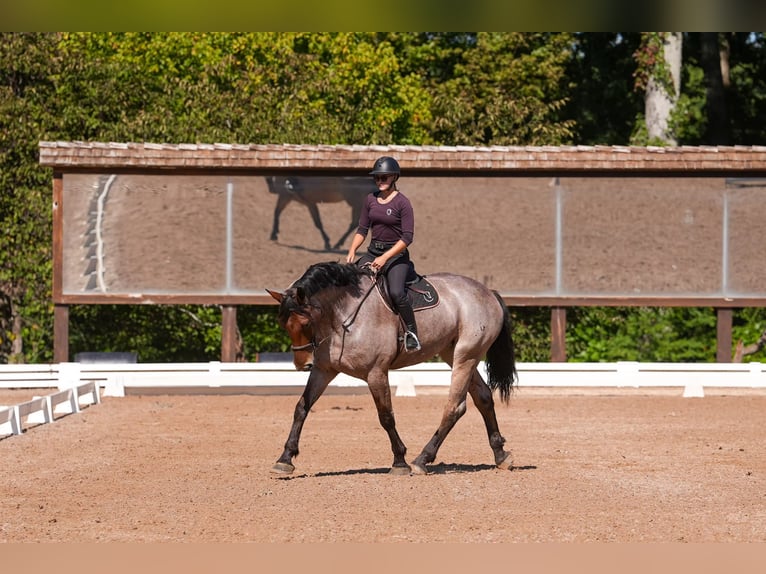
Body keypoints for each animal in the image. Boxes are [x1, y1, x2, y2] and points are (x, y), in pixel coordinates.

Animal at [266, 261, 518, 476]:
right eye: (282, 323)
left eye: (306, 322)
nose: (303, 365)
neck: (342, 315)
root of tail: (488, 292)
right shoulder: (323, 370)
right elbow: (301, 407)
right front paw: (285, 459)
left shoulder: (376, 372)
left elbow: (386, 416)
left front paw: (399, 461)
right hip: (454, 353)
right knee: (483, 397)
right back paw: (501, 455)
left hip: (466, 356)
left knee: (455, 406)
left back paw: (421, 460)